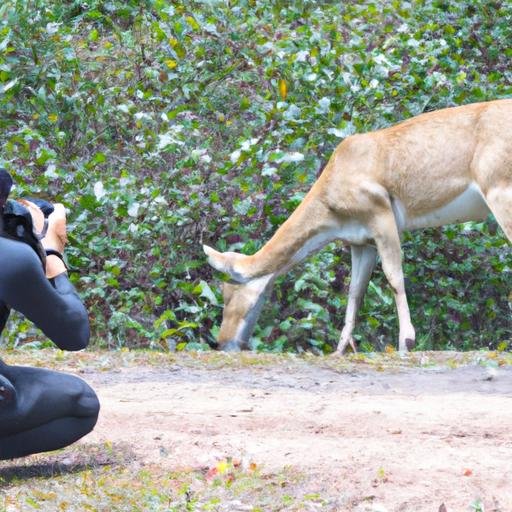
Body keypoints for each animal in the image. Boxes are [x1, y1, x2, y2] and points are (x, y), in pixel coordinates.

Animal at [204, 100, 512, 352]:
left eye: (228, 292)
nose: (222, 343)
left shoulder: (381, 213)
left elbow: (394, 277)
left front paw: (406, 341)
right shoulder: (360, 240)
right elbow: (355, 291)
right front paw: (341, 349)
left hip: (499, 188)